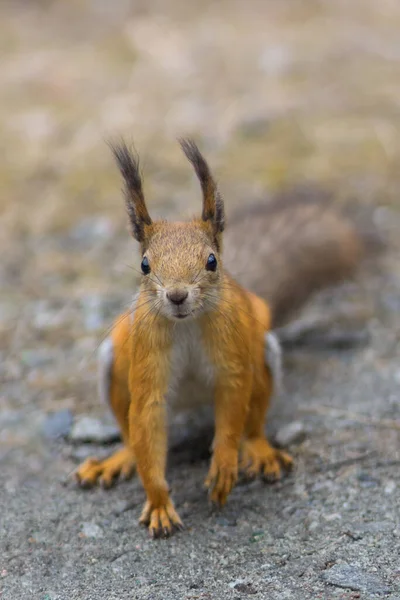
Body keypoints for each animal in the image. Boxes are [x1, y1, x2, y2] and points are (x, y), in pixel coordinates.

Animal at [74, 138, 378, 536]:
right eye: (144, 264)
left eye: (212, 261)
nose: (177, 295)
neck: (186, 323)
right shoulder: (148, 361)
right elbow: (147, 421)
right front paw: (159, 503)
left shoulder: (231, 356)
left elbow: (233, 406)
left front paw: (222, 466)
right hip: (113, 366)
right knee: (130, 436)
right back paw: (117, 459)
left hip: (264, 357)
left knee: (253, 423)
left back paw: (259, 451)